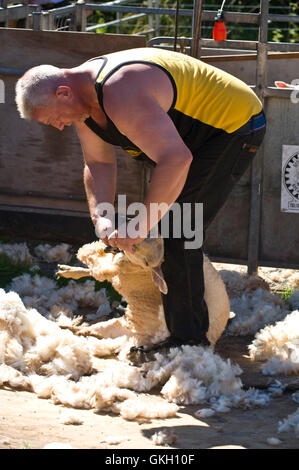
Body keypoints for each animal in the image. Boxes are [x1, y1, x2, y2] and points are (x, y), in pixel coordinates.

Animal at [56, 237, 232, 350]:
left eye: (147, 263)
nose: (130, 247)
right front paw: (65, 270)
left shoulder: (115, 271)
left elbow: (95, 268)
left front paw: (72, 266)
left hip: (115, 328)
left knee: (84, 331)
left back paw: (67, 325)